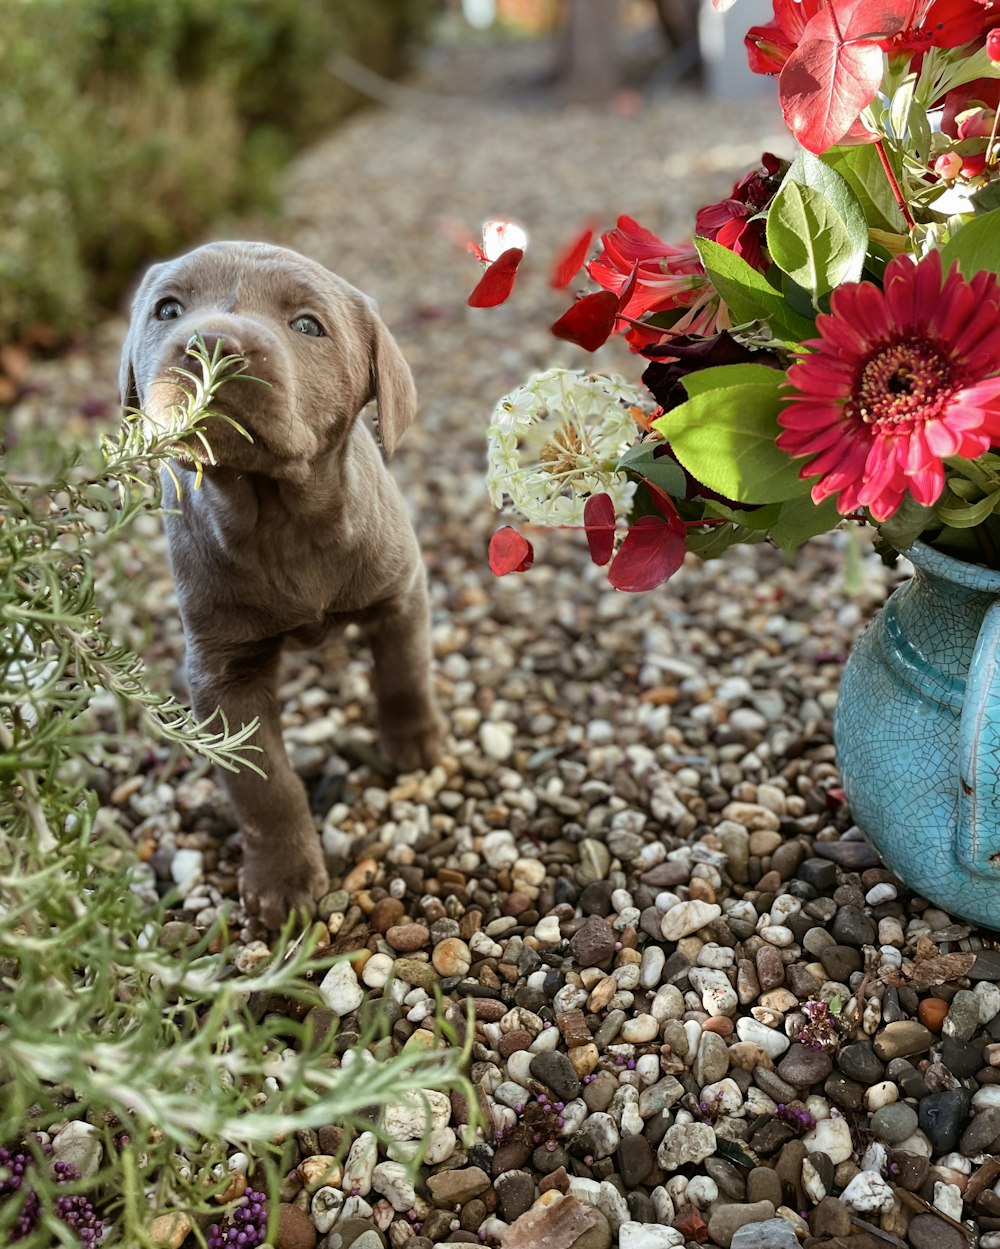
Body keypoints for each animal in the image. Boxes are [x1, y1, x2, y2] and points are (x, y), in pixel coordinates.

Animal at [119, 241, 441, 929]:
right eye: (168, 309)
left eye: (308, 325)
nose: (213, 341)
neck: (281, 521)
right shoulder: (224, 674)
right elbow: (266, 785)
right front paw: (284, 879)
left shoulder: (401, 593)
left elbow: (405, 671)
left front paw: (415, 741)